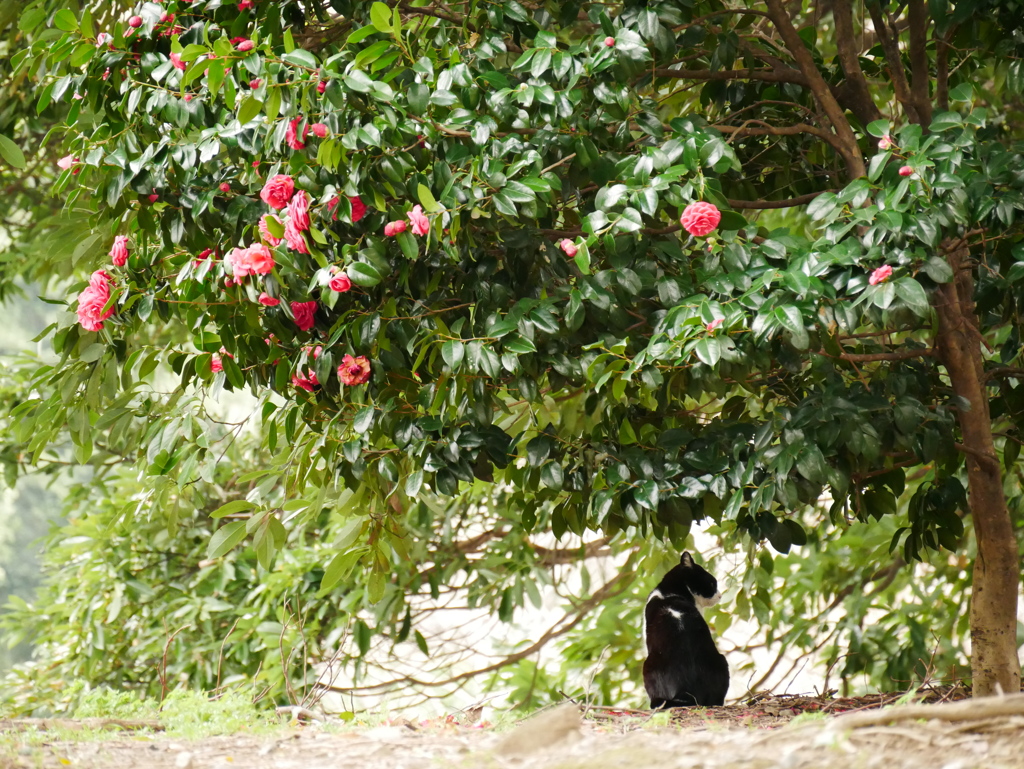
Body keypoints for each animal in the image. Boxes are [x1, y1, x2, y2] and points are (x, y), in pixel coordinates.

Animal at [638, 552, 729, 708]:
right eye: (712, 583)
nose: (720, 596)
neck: (671, 593)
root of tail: (685, 688)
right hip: (720, 660)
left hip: (647, 665)